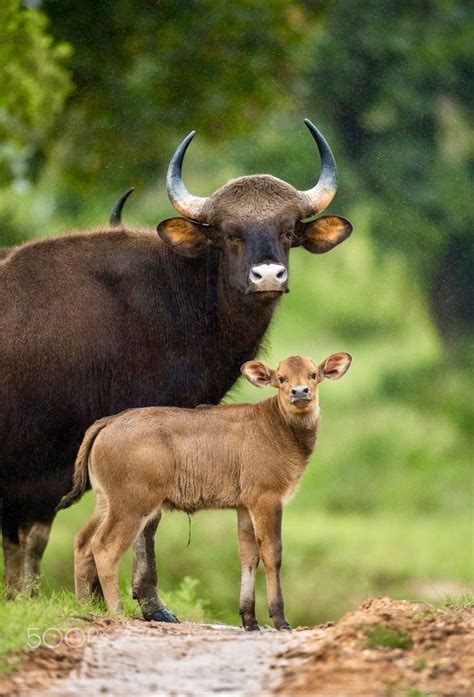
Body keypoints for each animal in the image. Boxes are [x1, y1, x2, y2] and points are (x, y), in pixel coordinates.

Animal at [59, 350, 352, 628]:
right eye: (281, 378)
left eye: (313, 374)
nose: (300, 392)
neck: (278, 427)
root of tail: (108, 422)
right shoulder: (266, 499)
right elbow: (272, 553)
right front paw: (280, 621)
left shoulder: (244, 506)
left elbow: (248, 556)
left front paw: (250, 621)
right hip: (132, 506)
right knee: (104, 548)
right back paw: (116, 612)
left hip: (106, 502)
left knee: (83, 542)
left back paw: (83, 606)